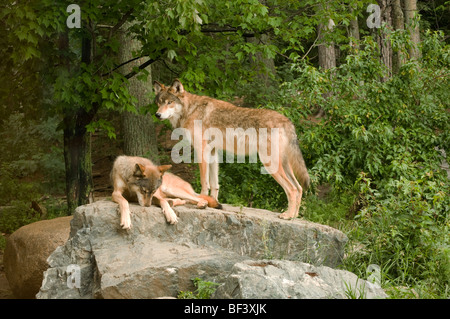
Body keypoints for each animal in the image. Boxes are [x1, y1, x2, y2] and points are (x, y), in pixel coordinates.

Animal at [154, 79, 310, 220]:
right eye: (159, 102)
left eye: (169, 102)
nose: (157, 115)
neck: (190, 109)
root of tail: (287, 121)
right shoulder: (213, 152)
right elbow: (214, 184)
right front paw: (214, 203)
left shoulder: (201, 150)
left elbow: (204, 183)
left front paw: (202, 202)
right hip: (283, 165)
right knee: (299, 188)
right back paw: (294, 216)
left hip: (270, 165)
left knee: (292, 189)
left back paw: (287, 216)